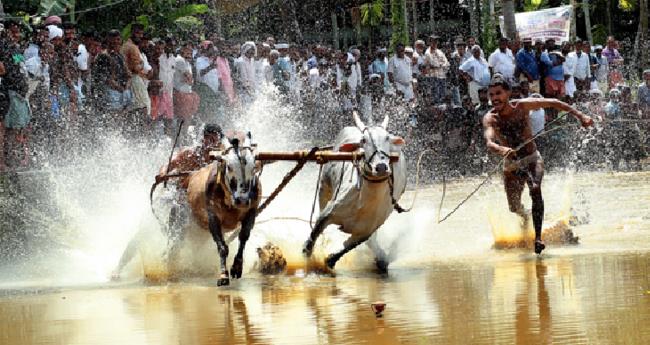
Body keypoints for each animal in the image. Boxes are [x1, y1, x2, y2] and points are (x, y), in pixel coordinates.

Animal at [300, 111, 402, 270]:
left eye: (387, 138)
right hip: (324, 189)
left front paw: (329, 260)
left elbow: (344, 250)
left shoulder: (366, 230)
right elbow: (310, 243)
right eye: (363, 140)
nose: (380, 167)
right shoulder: (328, 213)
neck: (366, 199)